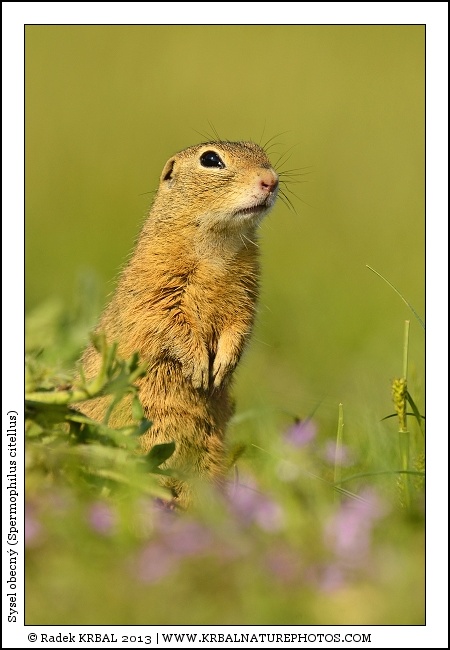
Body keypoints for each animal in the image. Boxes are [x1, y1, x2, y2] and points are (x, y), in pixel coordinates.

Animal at [79, 140, 279, 507]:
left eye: (261, 151)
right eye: (210, 159)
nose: (270, 180)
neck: (218, 243)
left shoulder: (246, 293)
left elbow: (239, 326)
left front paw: (222, 367)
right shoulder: (158, 284)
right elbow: (170, 324)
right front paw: (200, 367)